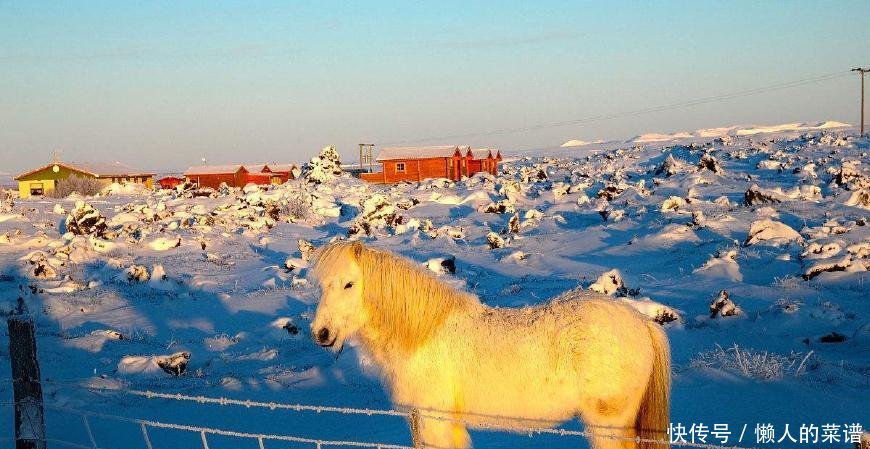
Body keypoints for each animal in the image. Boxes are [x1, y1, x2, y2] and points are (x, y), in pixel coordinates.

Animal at [314, 242, 676, 448]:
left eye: (349, 284)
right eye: (322, 285)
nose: (321, 333)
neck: (423, 336)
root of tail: (640, 322)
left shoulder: (436, 422)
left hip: (609, 424)